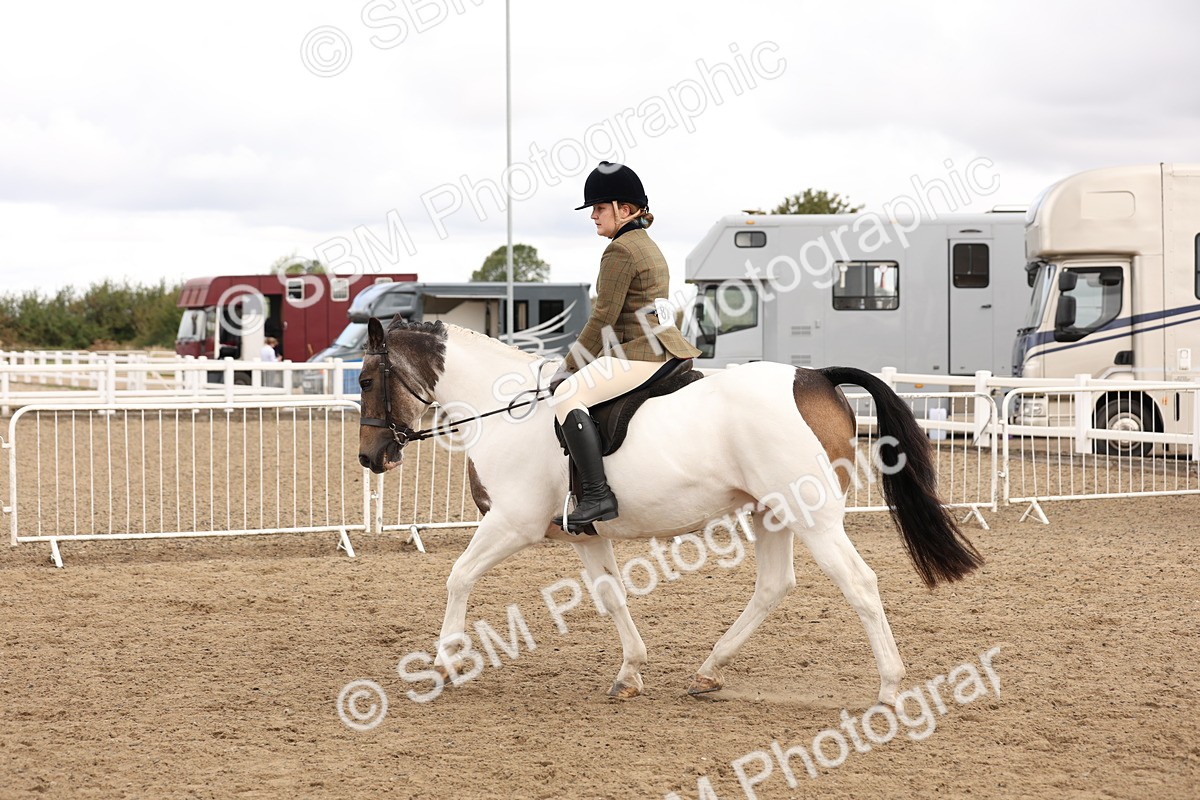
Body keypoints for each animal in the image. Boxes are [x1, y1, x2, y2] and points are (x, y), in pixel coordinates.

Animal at [356, 318, 982, 706]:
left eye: (364, 378)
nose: (370, 457)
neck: (505, 409)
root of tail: (816, 376)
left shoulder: (511, 522)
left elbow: (458, 575)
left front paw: (445, 661)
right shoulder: (585, 534)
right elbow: (611, 595)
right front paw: (630, 673)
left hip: (813, 516)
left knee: (859, 583)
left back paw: (890, 687)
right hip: (772, 513)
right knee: (774, 585)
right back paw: (709, 672)